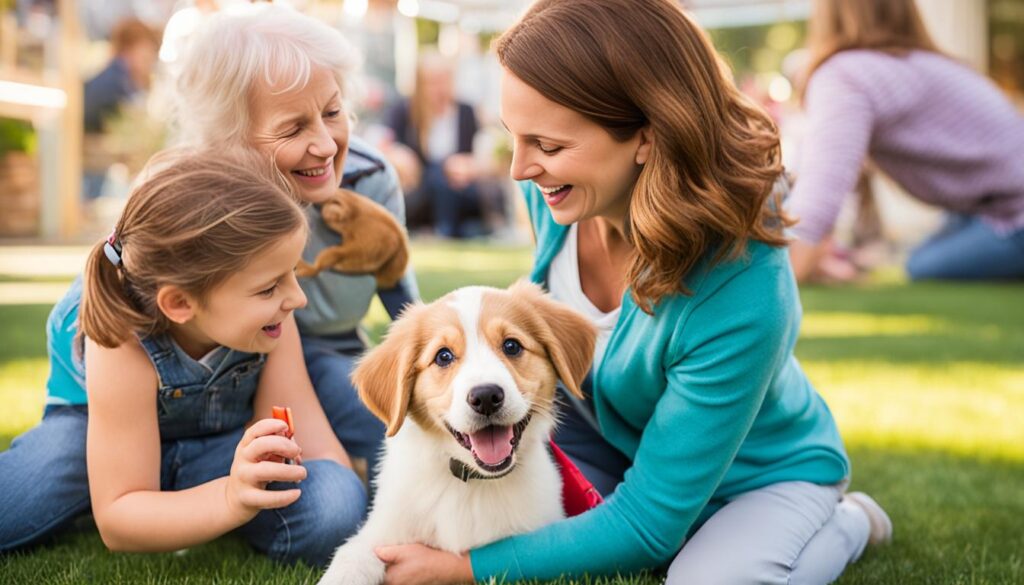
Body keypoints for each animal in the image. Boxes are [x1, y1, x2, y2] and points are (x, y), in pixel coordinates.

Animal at [315, 280, 598, 581]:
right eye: (443, 356)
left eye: (511, 346)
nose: (486, 397)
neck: (472, 483)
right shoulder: (382, 531)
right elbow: (350, 558)